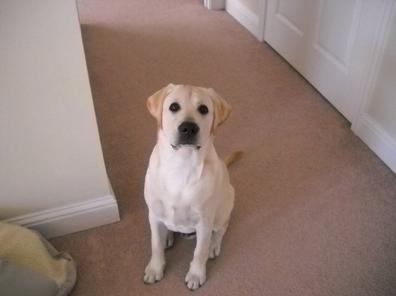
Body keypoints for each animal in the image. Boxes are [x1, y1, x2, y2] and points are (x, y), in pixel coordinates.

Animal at [143, 82, 240, 290]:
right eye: (173, 107)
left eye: (203, 109)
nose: (188, 128)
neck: (181, 163)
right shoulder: (153, 214)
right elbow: (155, 245)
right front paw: (155, 268)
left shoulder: (204, 221)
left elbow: (199, 251)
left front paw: (196, 274)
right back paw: (168, 236)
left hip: (223, 209)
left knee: (222, 229)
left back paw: (214, 245)